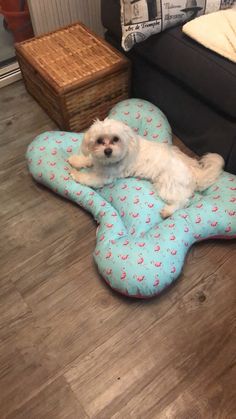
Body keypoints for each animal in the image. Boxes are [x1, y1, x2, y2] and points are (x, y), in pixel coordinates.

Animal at [68, 117, 225, 218]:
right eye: (99, 141)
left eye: (116, 139)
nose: (108, 151)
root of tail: (193, 171)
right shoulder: (98, 160)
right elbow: (88, 159)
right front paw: (76, 160)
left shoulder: (104, 177)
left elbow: (89, 178)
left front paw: (76, 174)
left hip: (167, 185)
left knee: (183, 201)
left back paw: (168, 211)